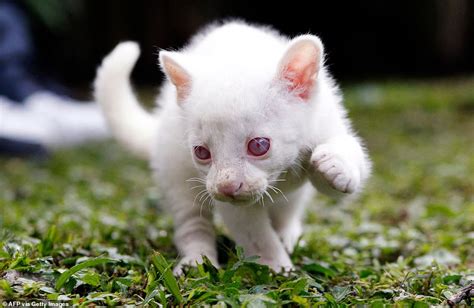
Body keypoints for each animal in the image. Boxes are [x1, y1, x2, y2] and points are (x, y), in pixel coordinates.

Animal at [94, 20, 372, 274]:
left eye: (258, 145)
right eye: (201, 152)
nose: (227, 187)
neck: (280, 175)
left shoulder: (325, 121)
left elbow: (344, 163)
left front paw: (336, 166)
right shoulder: (232, 205)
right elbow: (256, 236)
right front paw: (277, 267)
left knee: (288, 208)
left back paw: (288, 233)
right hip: (176, 173)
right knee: (191, 223)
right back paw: (197, 261)